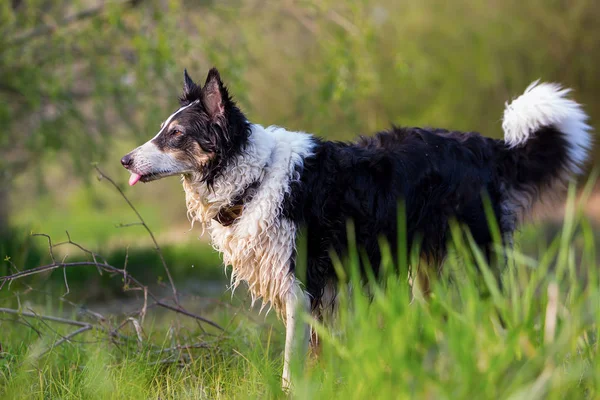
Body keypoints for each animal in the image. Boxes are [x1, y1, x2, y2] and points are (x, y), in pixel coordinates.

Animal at [120, 68, 592, 388]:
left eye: (175, 133)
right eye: (162, 130)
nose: (125, 160)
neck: (254, 176)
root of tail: (487, 146)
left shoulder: (302, 284)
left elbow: (293, 358)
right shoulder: (316, 293)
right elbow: (316, 351)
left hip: (479, 260)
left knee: (498, 313)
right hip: (425, 271)